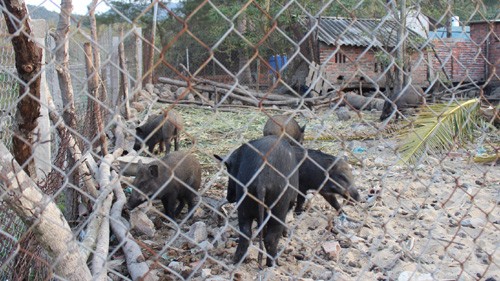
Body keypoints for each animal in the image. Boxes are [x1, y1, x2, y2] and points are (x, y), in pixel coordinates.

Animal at [214, 136, 298, 266]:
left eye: (229, 170)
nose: (229, 197)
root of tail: (261, 179)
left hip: (244, 205)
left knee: (245, 233)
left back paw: (236, 261)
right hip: (278, 207)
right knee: (271, 238)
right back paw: (273, 264)